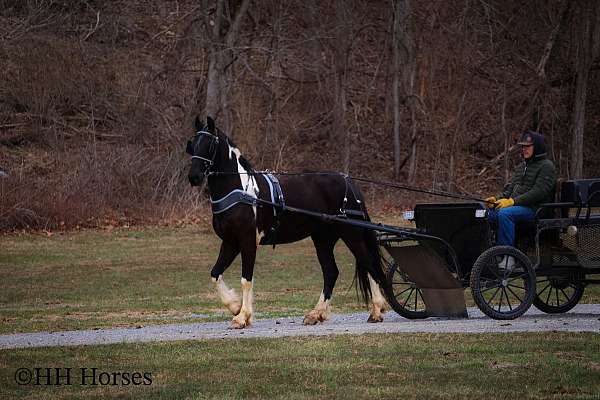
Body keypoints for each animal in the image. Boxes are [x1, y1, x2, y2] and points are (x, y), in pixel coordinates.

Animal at [185, 115, 386, 328]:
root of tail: (349, 182)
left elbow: (246, 279)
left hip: (351, 234)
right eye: (193, 144)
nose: (193, 177)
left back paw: (376, 310)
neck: (241, 192)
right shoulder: (231, 242)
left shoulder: (247, 241)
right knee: (331, 272)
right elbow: (215, 273)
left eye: (209, 144)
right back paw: (316, 314)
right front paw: (235, 306)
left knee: (369, 264)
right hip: (323, 239)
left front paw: (242, 316)